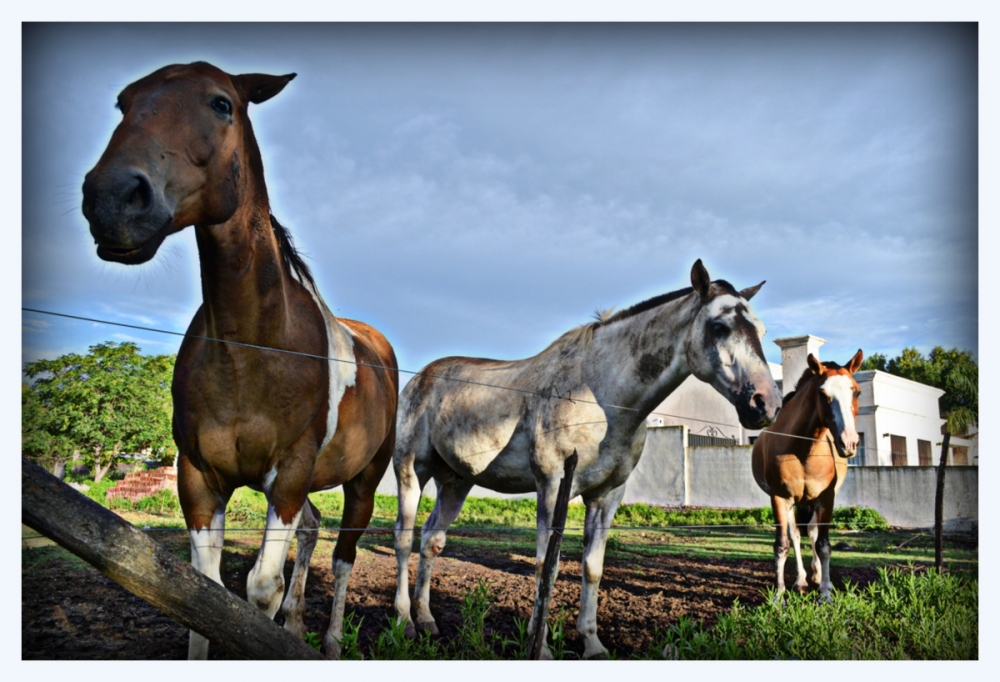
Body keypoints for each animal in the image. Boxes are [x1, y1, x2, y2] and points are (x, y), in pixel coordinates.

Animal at [81, 61, 398, 656]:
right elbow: (202, 593)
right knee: (312, 532)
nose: (112, 199)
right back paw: (296, 627)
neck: (252, 350)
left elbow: (260, 589)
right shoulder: (199, 477)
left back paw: (330, 642)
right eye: (123, 103)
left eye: (221, 103)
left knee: (344, 558)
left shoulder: (289, 476)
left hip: (363, 482)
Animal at [752, 350, 864, 600]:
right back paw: (802, 581)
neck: (803, 450)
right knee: (795, 535)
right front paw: (779, 595)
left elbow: (823, 545)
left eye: (856, 391)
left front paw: (826, 593)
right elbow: (782, 544)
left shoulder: (827, 498)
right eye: (823, 394)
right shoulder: (780, 498)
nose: (849, 442)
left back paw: (817, 576)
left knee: (812, 534)